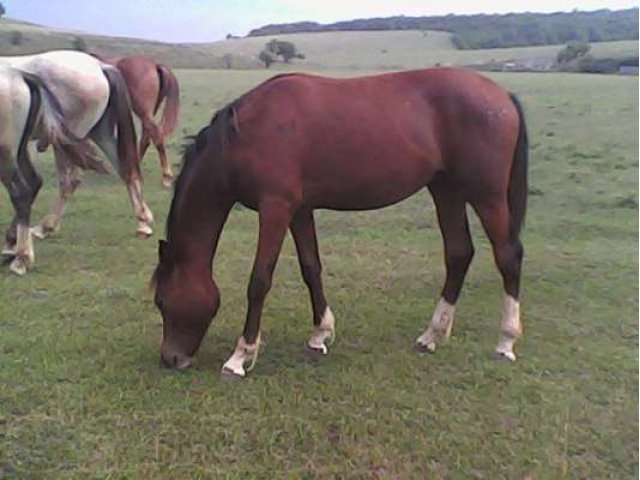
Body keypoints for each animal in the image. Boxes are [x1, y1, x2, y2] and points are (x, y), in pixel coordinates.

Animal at [0, 50, 155, 242]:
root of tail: (100, 66)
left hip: (66, 141)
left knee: (70, 180)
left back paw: (44, 227)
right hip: (101, 135)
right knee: (127, 170)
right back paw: (143, 224)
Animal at [0, 65, 100, 274]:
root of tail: (21, 76)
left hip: (5, 154)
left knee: (21, 193)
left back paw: (21, 258)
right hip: (21, 149)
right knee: (33, 182)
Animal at [99, 54, 181, 186]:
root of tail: (154, 65)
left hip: (143, 111)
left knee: (156, 136)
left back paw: (166, 176)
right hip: (148, 113)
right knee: (146, 138)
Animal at [150, 66, 528, 378]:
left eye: (162, 301)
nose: (170, 358)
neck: (244, 135)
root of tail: (501, 95)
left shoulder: (275, 209)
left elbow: (259, 280)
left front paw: (240, 357)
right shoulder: (299, 210)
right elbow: (311, 268)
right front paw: (320, 334)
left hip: (486, 194)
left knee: (507, 255)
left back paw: (506, 341)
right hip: (446, 189)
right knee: (459, 254)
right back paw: (431, 335)